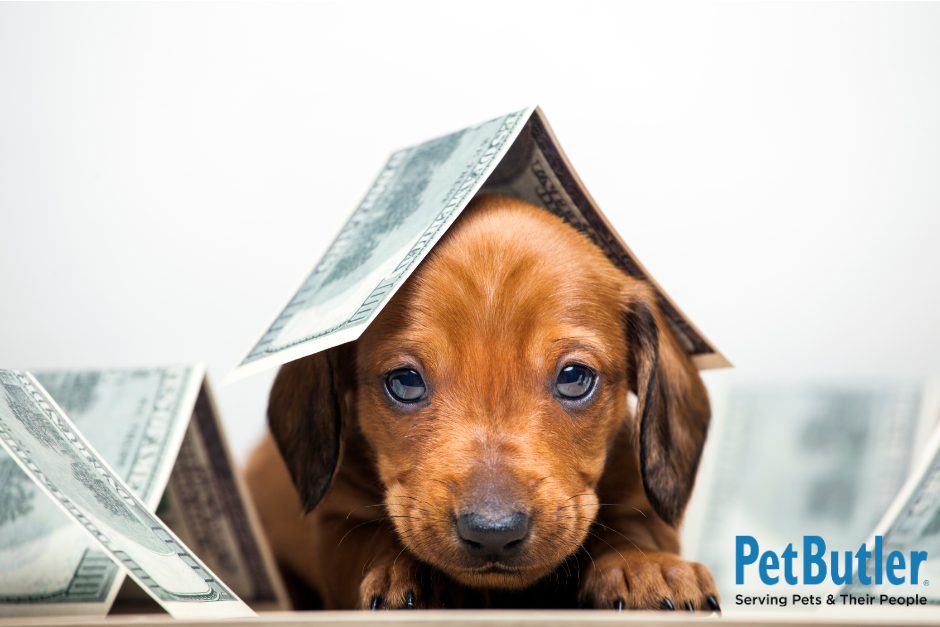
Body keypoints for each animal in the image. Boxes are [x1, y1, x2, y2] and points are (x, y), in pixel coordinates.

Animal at [244, 194, 720, 612]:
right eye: (405, 382)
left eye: (574, 378)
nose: (493, 532)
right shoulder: (336, 522)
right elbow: (371, 539)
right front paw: (409, 572)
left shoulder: (638, 495)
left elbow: (634, 528)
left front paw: (647, 565)